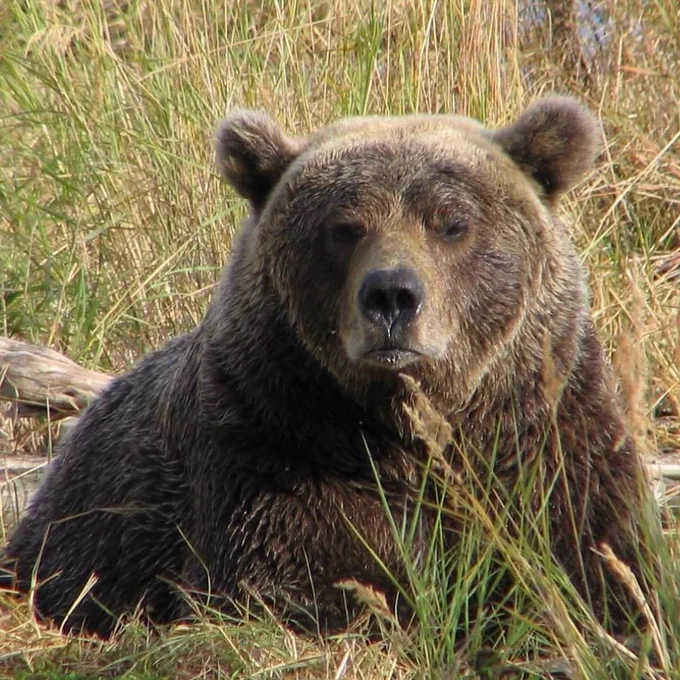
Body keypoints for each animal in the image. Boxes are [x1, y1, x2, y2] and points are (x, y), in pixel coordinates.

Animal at [1, 96, 651, 639]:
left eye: (451, 224)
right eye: (343, 228)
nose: (391, 296)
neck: (406, 426)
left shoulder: (549, 438)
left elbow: (598, 559)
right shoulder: (274, 443)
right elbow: (303, 579)